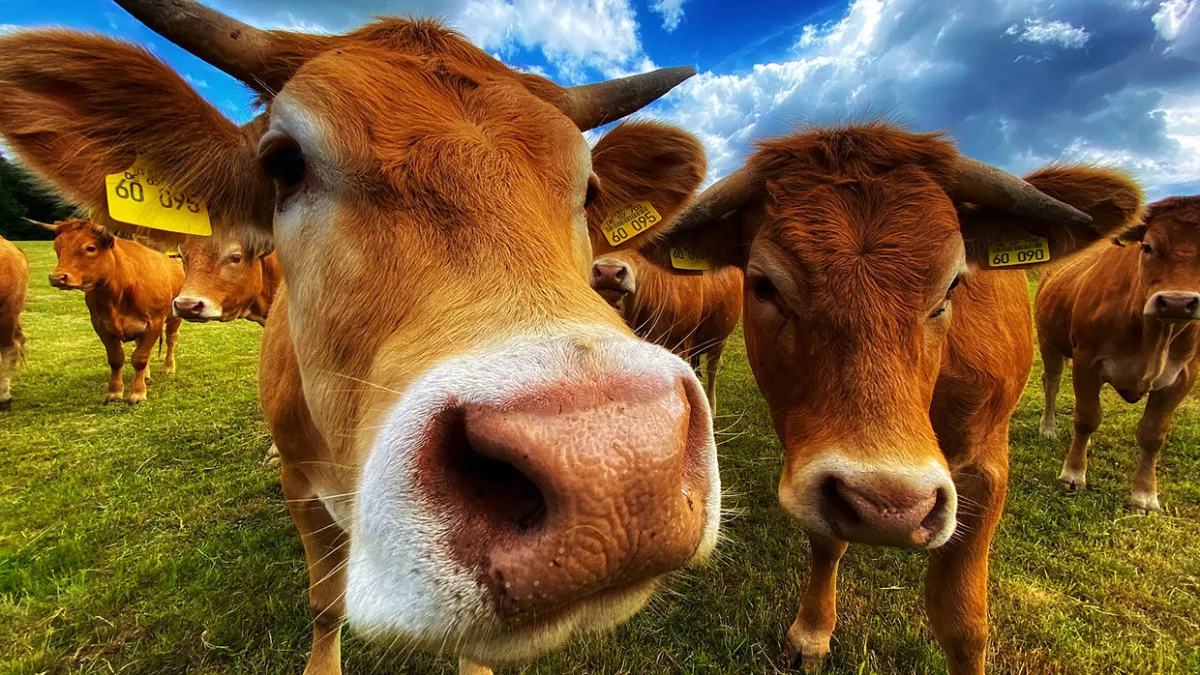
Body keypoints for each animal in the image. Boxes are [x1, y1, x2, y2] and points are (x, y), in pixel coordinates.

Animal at [36, 218, 183, 404]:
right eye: (57, 247)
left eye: (90, 248)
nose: (57, 277)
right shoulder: (100, 324)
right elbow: (116, 358)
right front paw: (114, 392)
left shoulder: (155, 321)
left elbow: (140, 357)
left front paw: (138, 393)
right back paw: (146, 375)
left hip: (174, 318)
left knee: (171, 339)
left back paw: (168, 367)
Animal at [625, 122, 1142, 674]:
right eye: (764, 285)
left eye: (953, 283)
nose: (889, 506)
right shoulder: (812, 460)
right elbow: (827, 541)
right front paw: (812, 632)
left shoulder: (986, 465)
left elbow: (962, 619)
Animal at [1036, 195, 1198, 515]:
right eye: (1147, 247)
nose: (1177, 302)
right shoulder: (1087, 361)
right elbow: (1086, 418)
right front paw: (1073, 475)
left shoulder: (1182, 376)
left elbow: (1152, 435)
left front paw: (1145, 495)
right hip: (1048, 341)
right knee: (1052, 383)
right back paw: (1048, 427)